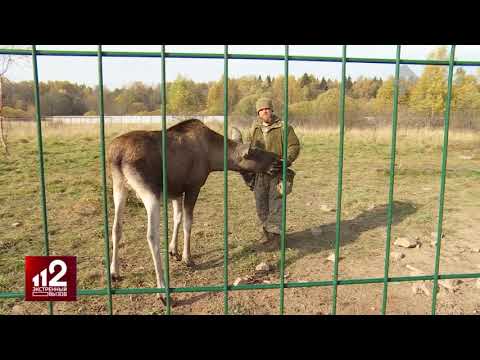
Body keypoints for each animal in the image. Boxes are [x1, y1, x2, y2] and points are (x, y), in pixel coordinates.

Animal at [108, 119, 282, 304]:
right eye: (257, 151)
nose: (279, 160)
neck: (214, 158)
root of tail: (117, 155)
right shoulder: (193, 187)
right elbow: (187, 223)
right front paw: (187, 258)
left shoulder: (175, 192)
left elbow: (177, 218)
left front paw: (174, 250)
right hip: (149, 192)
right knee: (152, 235)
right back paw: (162, 291)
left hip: (119, 186)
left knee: (116, 227)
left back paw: (114, 272)